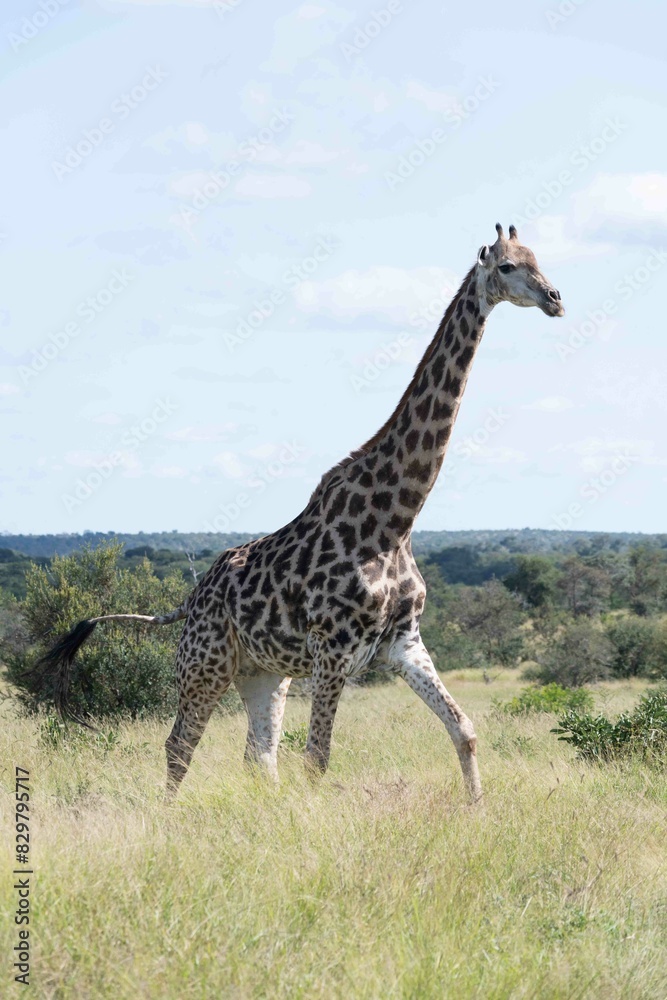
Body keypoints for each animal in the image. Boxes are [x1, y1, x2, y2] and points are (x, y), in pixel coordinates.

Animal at [37, 224, 563, 802]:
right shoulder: (333, 650)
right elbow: (317, 759)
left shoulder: (403, 641)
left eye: (540, 259)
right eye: (508, 266)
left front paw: (477, 810)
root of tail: (189, 600)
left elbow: (463, 730)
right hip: (205, 663)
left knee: (257, 752)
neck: (395, 521)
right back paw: (167, 816)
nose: (555, 299)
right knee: (180, 745)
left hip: (263, 673)